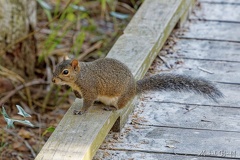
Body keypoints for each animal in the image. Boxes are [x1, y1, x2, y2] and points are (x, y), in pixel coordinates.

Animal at [52, 57, 223, 115]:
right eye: (55, 67)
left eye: (65, 72)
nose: (53, 80)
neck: (79, 77)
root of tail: (134, 88)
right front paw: (76, 95)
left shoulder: (90, 87)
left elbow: (88, 101)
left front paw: (81, 111)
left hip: (121, 97)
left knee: (120, 106)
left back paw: (110, 108)